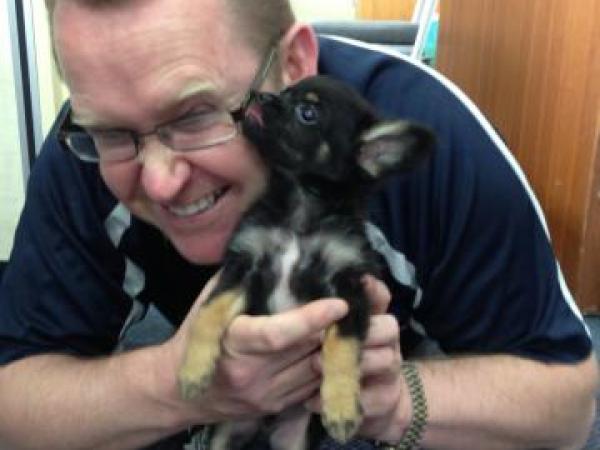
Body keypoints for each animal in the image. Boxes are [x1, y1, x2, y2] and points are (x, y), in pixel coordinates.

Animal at [176, 75, 434, 448]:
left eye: (307, 113)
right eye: (284, 91)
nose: (260, 95)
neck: (300, 210)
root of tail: (265, 424)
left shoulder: (348, 290)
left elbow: (342, 346)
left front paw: (341, 408)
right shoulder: (244, 266)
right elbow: (210, 312)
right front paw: (193, 370)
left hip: (294, 439)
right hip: (227, 433)